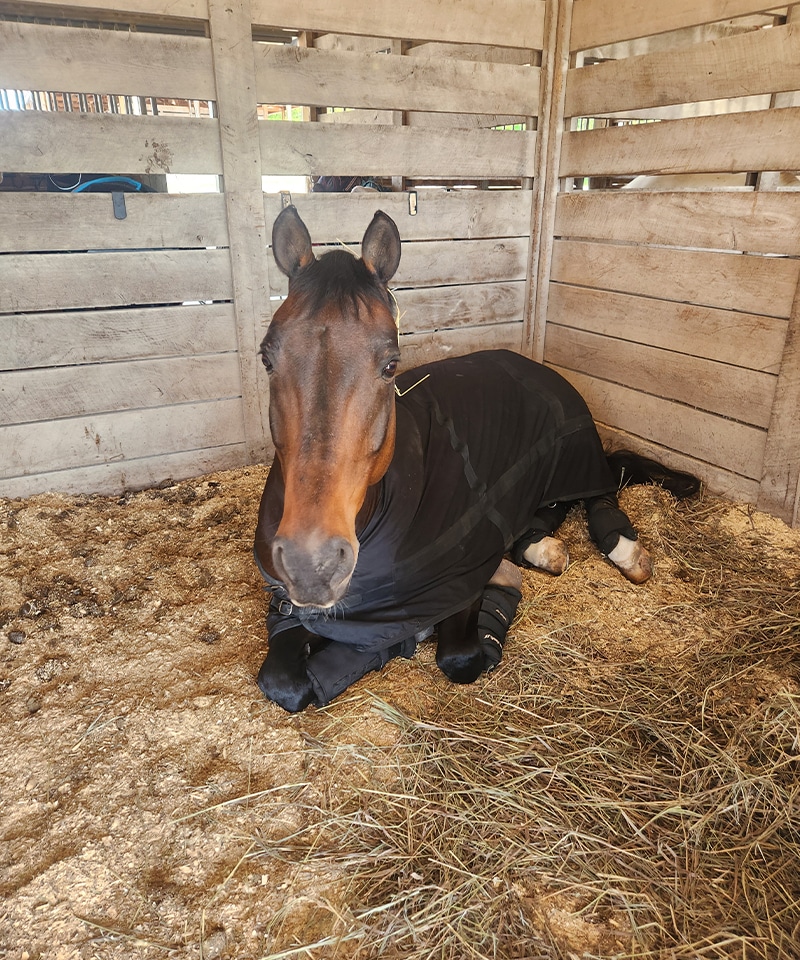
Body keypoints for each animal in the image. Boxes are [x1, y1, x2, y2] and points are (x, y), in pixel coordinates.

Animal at [253, 206, 699, 712]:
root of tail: (535, 366)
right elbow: (283, 681)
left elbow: (461, 657)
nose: (313, 565)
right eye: (267, 358)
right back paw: (543, 547)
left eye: (391, 365)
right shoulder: (286, 608)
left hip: (574, 455)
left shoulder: (462, 579)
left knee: (605, 482)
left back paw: (624, 549)